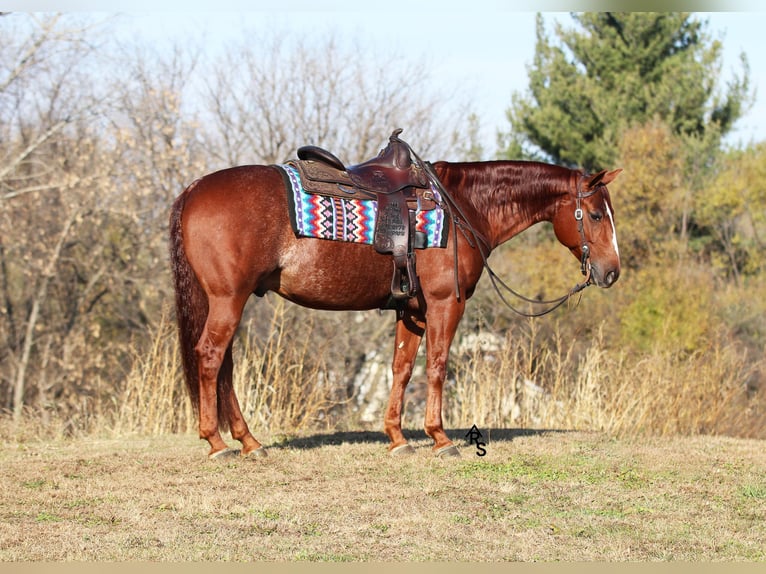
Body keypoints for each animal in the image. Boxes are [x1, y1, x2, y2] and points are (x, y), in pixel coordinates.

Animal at [170, 152, 624, 460]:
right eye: (596, 215)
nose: (612, 273)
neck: (463, 206)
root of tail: (193, 190)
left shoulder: (411, 311)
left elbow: (402, 368)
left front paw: (398, 437)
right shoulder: (445, 304)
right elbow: (437, 366)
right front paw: (439, 438)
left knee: (224, 366)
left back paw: (248, 441)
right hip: (228, 299)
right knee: (210, 357)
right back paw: (218, 442)